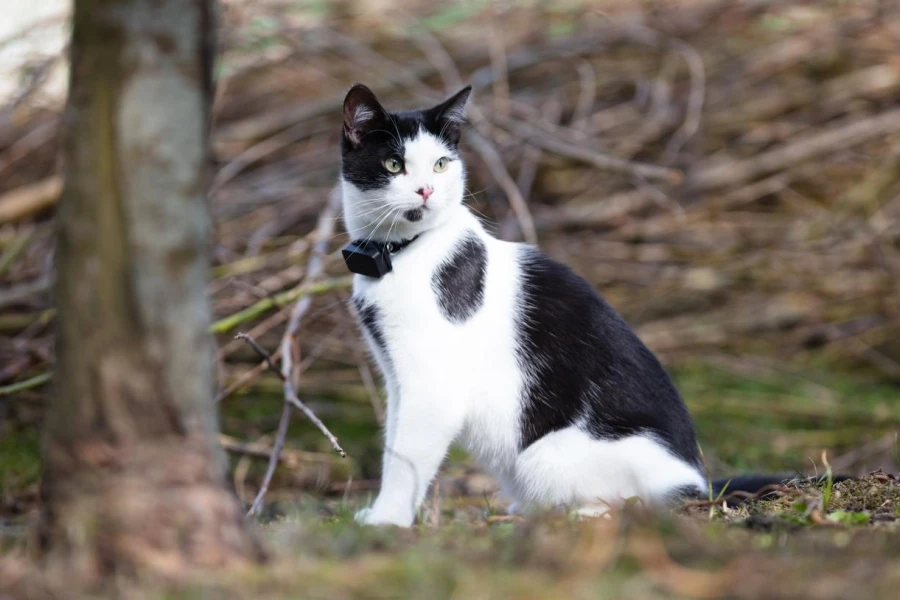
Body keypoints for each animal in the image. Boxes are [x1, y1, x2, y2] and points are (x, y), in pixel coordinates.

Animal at [340, 83, 780, 524]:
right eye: (394, 164)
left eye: (441, 165)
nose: (426, 191)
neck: (396, 254)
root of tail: (698, 482)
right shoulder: (397, 378)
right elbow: (392, 445)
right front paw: (380, 514)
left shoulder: (433, 387)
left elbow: (407, 458)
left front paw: (387, 521)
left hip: (546, 456)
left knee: (634, 504)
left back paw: (576, 515)